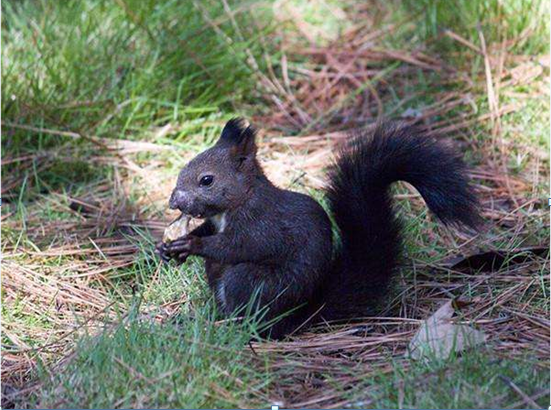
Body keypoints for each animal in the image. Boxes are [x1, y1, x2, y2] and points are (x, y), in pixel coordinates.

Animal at [157, 118, 480, 340]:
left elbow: (237, 246)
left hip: (250, 282)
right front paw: (171, 246)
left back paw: (233, 329)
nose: (174, 201)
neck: (238, 201)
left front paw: (191, 246)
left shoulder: (260, 223)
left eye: (206, 180)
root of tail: (298, 318)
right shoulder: (215, 221)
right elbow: (206, 230)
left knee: (251, 311)